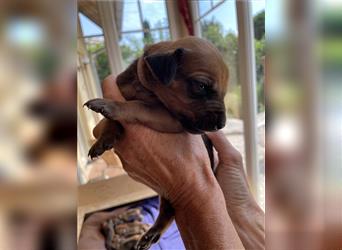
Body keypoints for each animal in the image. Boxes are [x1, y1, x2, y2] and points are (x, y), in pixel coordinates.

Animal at [84, 36, 228, 249]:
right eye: (201, 86)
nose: (222, 124)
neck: (144, 86)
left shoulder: (168, 118)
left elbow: (138, 106)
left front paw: (112, 106)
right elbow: (112, 121)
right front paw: (105, 138)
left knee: (169, 212)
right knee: (168, 211)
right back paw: (150, 235)